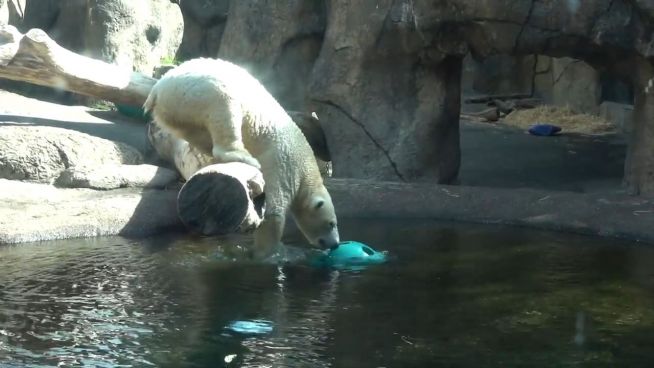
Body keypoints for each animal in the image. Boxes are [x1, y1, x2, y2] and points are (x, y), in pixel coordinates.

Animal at [142, 59, 338, 258]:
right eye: (332, 224)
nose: (335, 244)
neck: (305, 161)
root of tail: (157, 89)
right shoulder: (284, 164)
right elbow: (274, 211)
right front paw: (269, 253)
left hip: (179, 111)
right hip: (202, 92)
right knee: (225, 111)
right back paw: (242, 156)